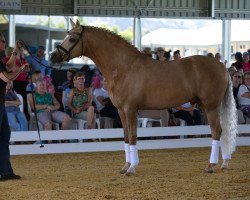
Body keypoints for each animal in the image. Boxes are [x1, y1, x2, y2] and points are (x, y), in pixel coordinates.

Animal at [50, 19, 236, 176]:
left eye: (72, 38)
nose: (53, 56)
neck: (124, 67)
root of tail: (221, 66)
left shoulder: (130, 109)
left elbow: (133, 137)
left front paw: (131, 168)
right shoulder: (121, 111)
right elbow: (126, 137)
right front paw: (125, 166)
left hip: (210, 106)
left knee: (216, 131)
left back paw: (211, 166)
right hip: (207, 106)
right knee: (220, 130)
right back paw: (224, 163)